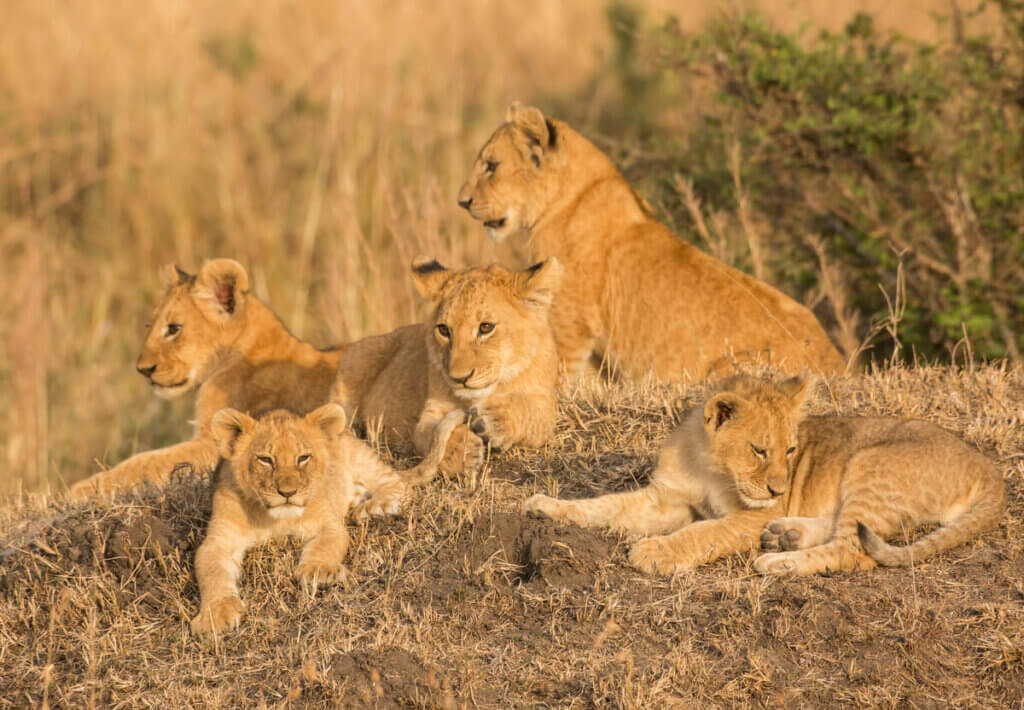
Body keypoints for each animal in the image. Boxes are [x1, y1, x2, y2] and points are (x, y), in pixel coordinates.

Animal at [70, 259, 348, 497]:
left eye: (173, 328)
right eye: (150, 326)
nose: (143, 369)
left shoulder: (219, 442)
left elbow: (146, 461)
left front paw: (80, 490)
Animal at [191, 401, 460, 635]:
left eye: (303, 458)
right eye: (266, 460)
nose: (287, 493)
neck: (275, 520)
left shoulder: (329, 524)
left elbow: (327, 545)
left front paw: (319, 571)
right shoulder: (219, 540)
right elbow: (211, 571)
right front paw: (216, 614)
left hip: (359, 455)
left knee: (396, 481)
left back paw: (374, 508)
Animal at [327, 256, 565, 475]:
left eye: (486, 327)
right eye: (443, 330)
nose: (459, 378)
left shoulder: (545, 405)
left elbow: (530, 413)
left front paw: (495, 420)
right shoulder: (429, 415)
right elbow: (433, 435)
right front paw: (463, 451)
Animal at [460, 100, 843, 383]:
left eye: (491, 166)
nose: (461, 202)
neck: (568, 197)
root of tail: (838, 365)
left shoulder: (571, 328)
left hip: (726, 369)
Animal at [524, 372, 1003, 573]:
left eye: (791, 449)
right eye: (759, 450)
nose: (779, 489)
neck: (707, 464)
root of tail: (990, 470)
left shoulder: (751, 514)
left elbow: (705, 531)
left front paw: (656, 552)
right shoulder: (665, 500)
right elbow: (604, 506)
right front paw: (544, 505)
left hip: (871, 463)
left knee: (854, 550)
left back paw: (777, 560)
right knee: (847, 529)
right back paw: (786, 535)